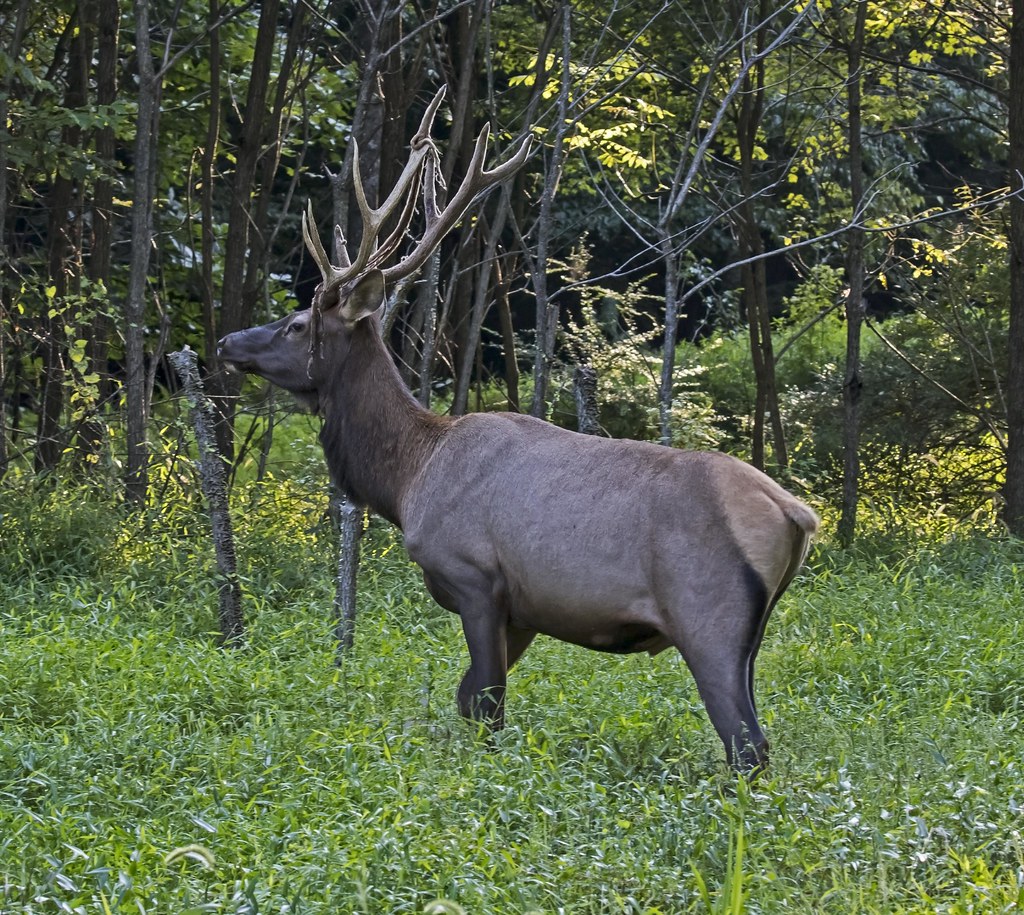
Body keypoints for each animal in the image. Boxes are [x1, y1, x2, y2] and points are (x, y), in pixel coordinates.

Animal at [217, 88, 819, 772]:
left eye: (296, 324)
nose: (227, 341)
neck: (409, 477)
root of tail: (796, 515)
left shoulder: (475, 576)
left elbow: (486, 706)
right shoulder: (526, 608)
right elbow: (467, 700)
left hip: (707, 615)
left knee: (748, 744)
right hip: (751, 633)